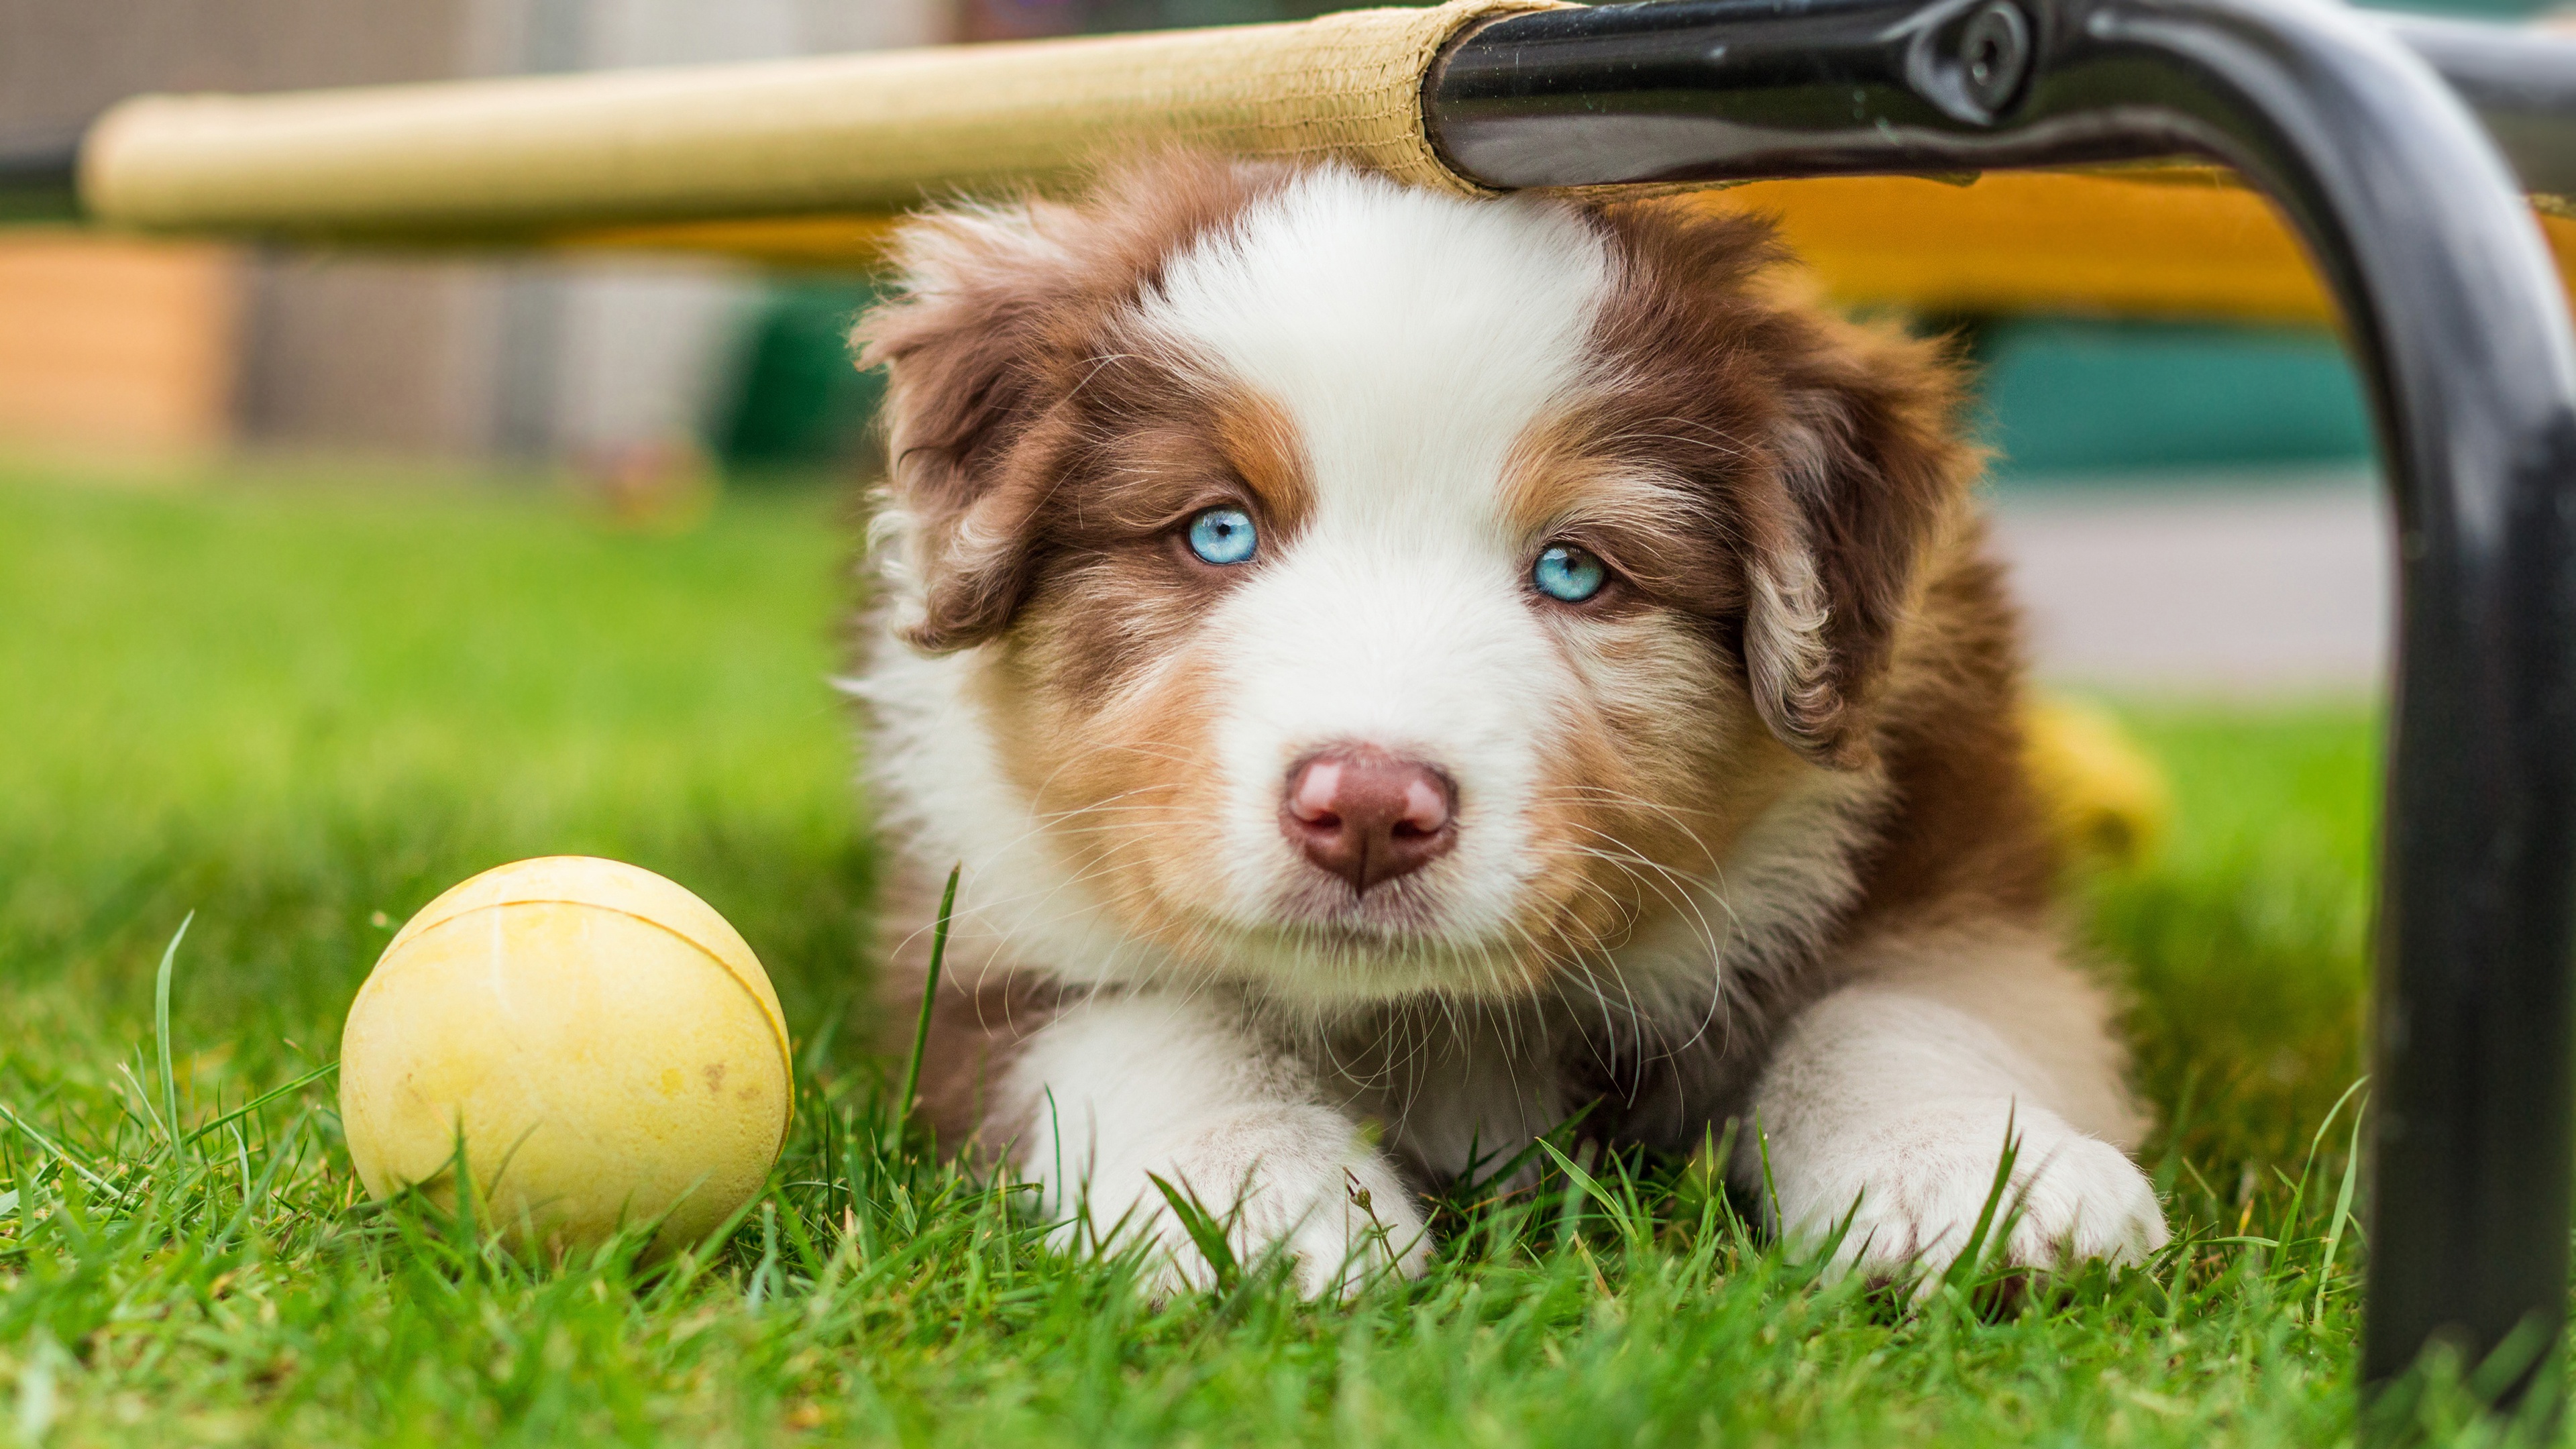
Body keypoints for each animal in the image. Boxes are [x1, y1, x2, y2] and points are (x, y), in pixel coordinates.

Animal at [850, 152, 2174, 1289]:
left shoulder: (1957, 867)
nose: (1368, 810)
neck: (1436, 1020)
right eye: (1217, 532)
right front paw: (1248, 1194)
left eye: (1575, 570)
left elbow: (1898, 1005)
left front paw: (1973, 1181)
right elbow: (1146, 1017)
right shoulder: (976, 918)